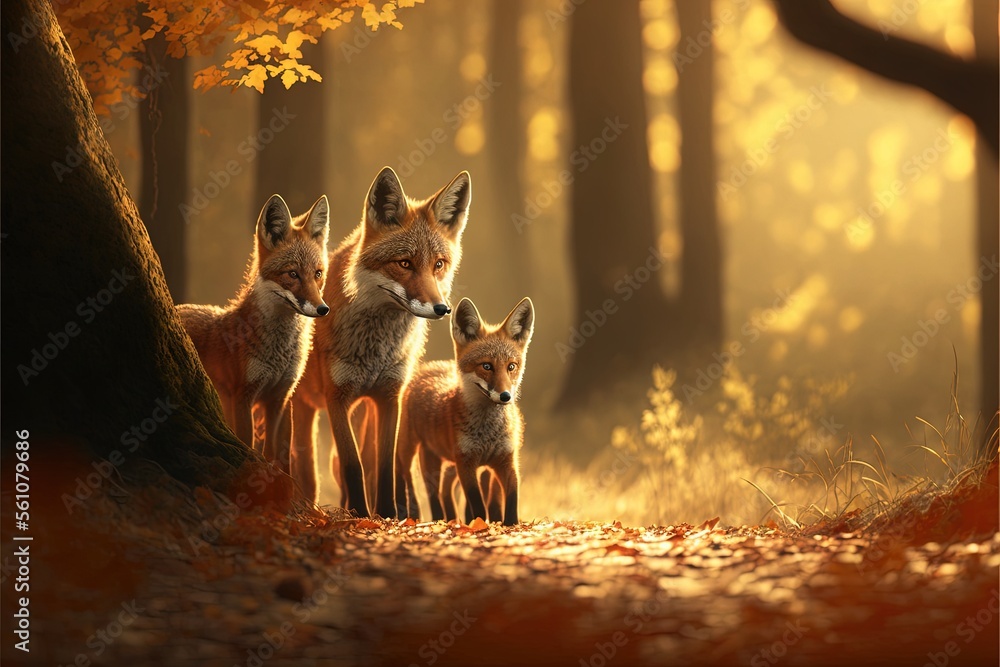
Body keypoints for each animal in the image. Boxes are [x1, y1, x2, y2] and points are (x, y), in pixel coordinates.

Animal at [178, 194, 330, 474]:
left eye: (318, 274)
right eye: (292, 274)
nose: (323, 309)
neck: (279, 355)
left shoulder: (281, 397)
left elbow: (278, 454)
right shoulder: (242, 395)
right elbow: (249, 445)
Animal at [291, 167, 471, 516]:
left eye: (438, 264)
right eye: (404, 263)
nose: (442, 309)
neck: (377, 351)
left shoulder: (389, 395)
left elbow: (383, 465)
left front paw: (386, 514)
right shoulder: (337, 397)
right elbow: (353, 465)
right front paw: (362, 516)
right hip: (300, 406)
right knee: (303, 462)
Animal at [396, 296, 534, 526]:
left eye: (511, 366)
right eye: (486, 366)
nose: (505, 396)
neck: (488, 433)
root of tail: (429, 367)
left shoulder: (505, 461)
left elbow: (509, 499)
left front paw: (507, 523)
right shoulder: (466, 462)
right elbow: (477, 502)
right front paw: (479, 525)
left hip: (445, 462)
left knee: (442, 490)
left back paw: (452, 519)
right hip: (411, 452)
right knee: (415, 486)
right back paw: (419, 517)